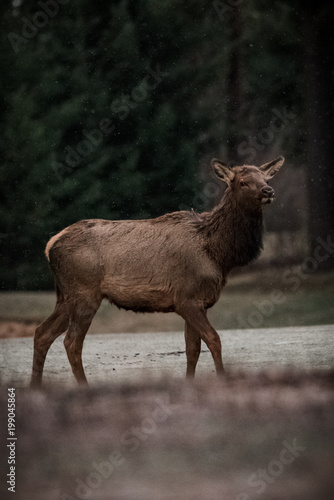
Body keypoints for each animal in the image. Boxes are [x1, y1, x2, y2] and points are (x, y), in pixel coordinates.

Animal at [30, 156, 284, 386]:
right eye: (243, 182)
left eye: (265, 177)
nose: (269, 190)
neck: (219, 254)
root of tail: (50, 245)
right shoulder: (187, 299)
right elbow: (214, 340)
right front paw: (222, 379)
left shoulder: (195, 301)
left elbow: (192, 349)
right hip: (84, 292)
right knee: (71, 342)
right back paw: (83, 386)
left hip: (66, 296)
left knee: (42, 333)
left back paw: (35, 385)